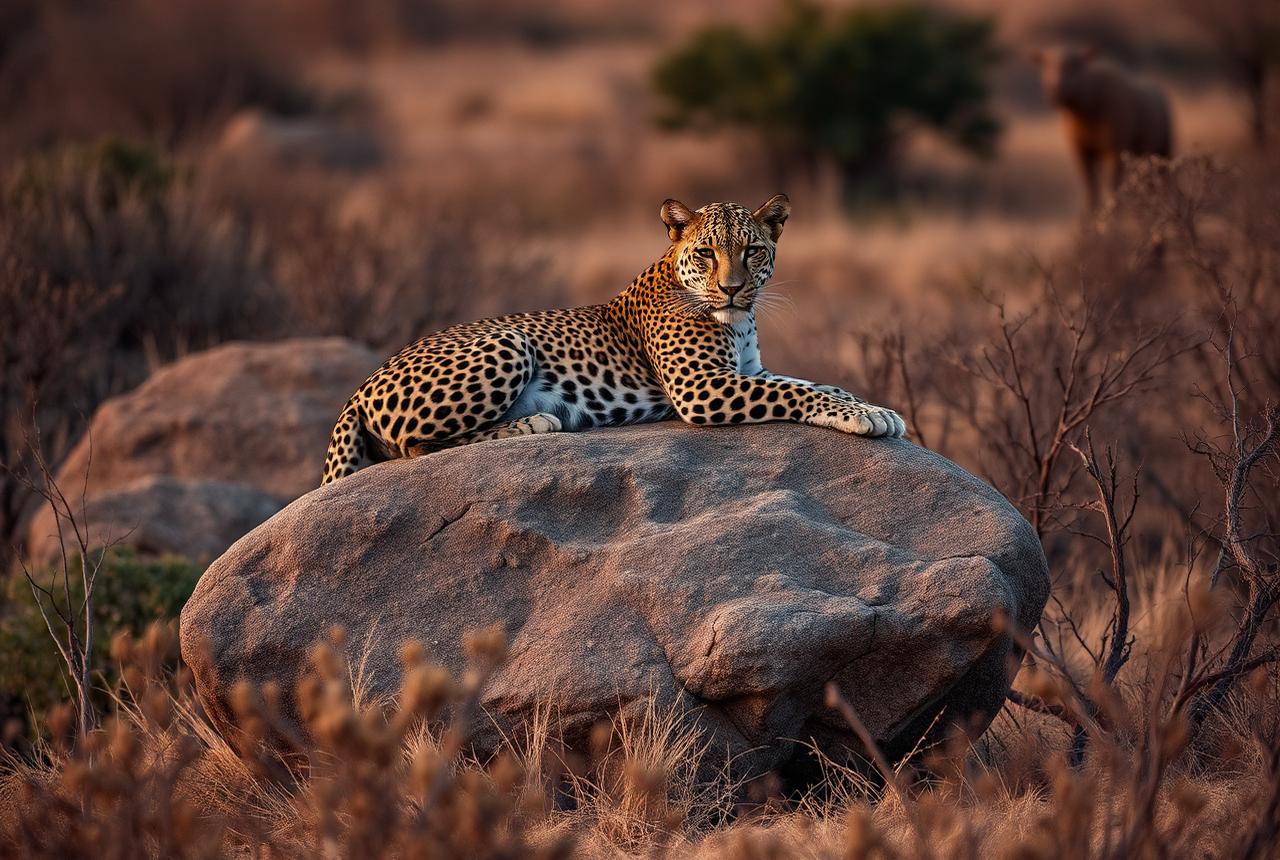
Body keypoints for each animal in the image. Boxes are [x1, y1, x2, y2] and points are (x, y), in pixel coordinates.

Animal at [321, 194, 905, 485]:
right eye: (707, 253)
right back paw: (535, 423)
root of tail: (359, 386)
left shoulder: (748, 371)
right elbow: (795, 391)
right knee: (413, 448)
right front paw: (868, 415)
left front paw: (870, 405)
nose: (733, 289)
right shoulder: (702, 386)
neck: (736, 322)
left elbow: (816, 382)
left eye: (753, 251)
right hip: (508, 343)